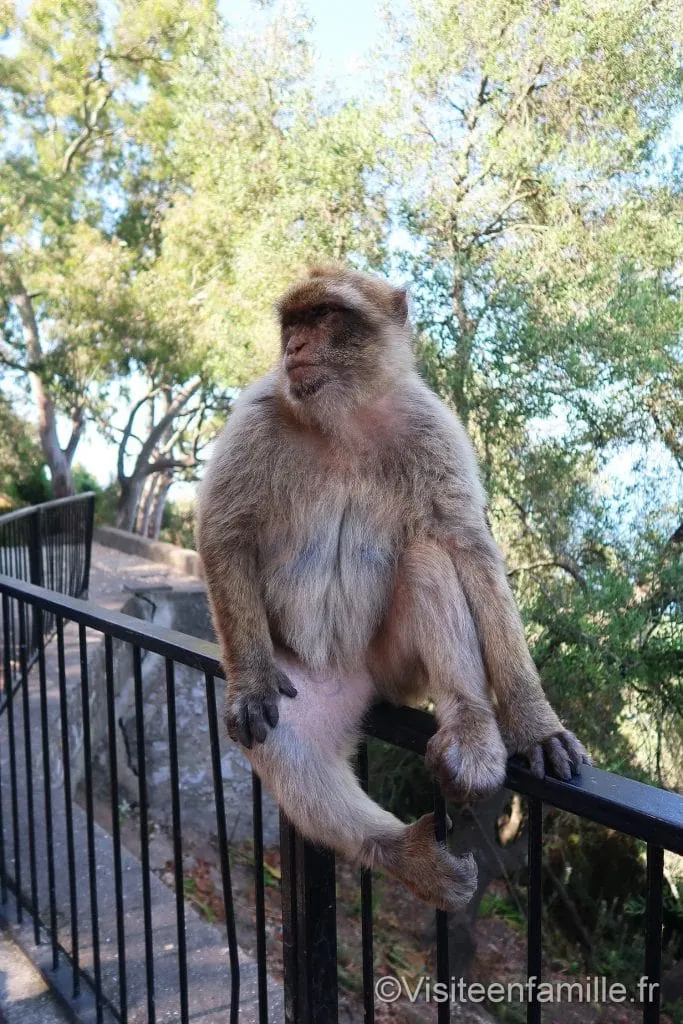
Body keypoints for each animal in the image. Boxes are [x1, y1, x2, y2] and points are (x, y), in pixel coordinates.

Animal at [196, 264, 590, 912]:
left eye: (326, 316)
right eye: (292, 323)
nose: (293, 348)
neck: (346, 418)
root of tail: (354, 676)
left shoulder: (432, 427)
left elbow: (468, 549)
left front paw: (537, 723)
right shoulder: (257, 416)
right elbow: (224, 534)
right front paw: (249, 680)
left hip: (397, 673)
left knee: (427, 559)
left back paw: (470, 728)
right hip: (309, 679)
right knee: (293, 748)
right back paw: (401, 853)